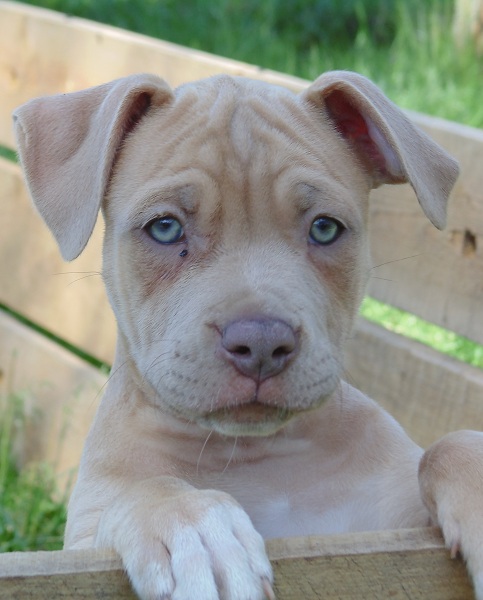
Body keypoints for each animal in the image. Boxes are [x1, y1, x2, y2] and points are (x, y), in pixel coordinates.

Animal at [12, 71, 483, 600]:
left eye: (325, 228)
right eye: (165, 227)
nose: (261, 344)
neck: (253, 453)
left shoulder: (394, 522)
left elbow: (449, 446)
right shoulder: (81, 540)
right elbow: (145, 489)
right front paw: (194, 530)